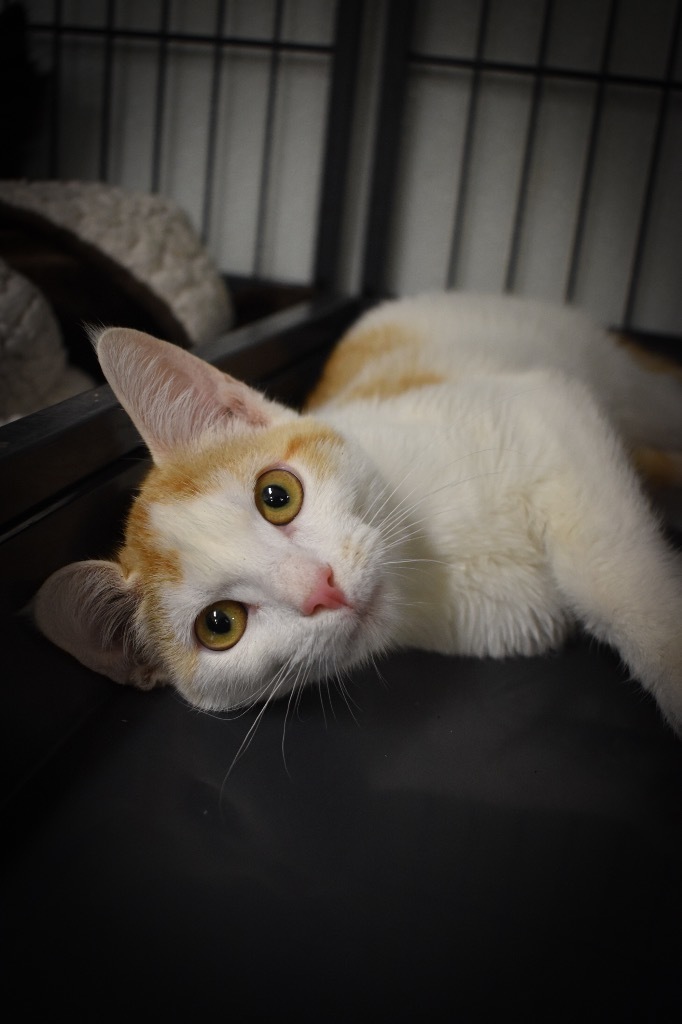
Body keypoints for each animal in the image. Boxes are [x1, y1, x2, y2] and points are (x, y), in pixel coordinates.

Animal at [33, 292, 679, 733]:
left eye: (277, 495)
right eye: (219, 625)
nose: (321, 587)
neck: (428, 566)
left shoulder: (540, 406)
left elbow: (608, 572)